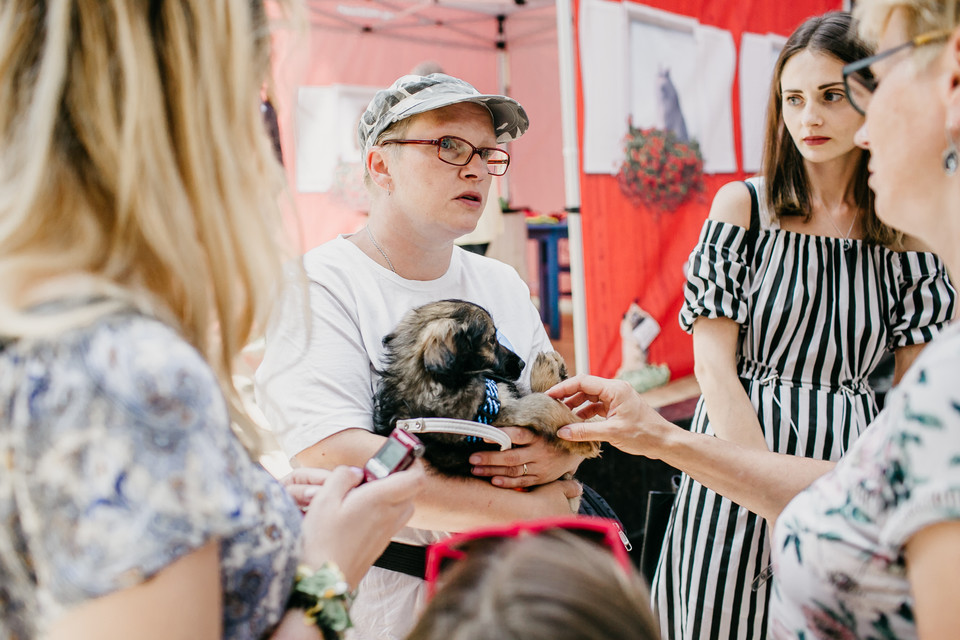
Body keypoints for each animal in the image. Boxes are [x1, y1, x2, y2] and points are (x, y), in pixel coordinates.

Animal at [370, 298, 600, 476]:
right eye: (491, 340)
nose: (522, 363)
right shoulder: (497, 418)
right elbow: (544, 403)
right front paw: (580, 437)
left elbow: (546, 397)